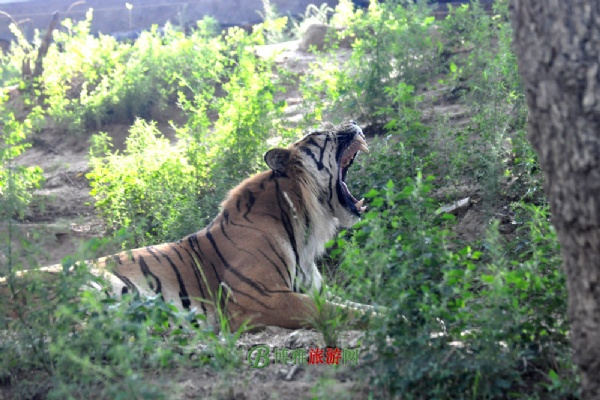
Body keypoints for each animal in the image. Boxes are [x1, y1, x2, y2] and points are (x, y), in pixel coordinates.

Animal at [1, 121, 376, 332]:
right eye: (321, 133)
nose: (356, 122)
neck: (305, 224)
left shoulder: (312, 290)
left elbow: (361, 305)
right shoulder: (263, 299)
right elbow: (336, 312)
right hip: (91, 283)